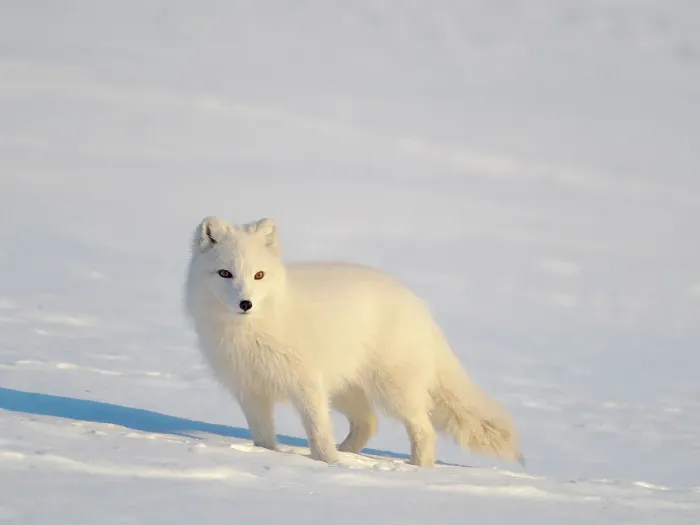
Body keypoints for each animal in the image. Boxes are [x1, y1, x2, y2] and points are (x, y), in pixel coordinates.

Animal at [184, 216, 523, 467]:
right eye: (225, 273)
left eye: (259, 275)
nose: (246, 303)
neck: (252, 330)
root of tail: (417, 304)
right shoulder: (250, 390)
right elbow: (263, 437)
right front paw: (270, 456)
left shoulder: (307, 383)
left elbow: (317, 430)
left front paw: (327, 463)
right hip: (346, 390)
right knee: (368, 423)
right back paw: (349, 455)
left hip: (392, 391)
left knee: (423, 430)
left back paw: (415, 470)